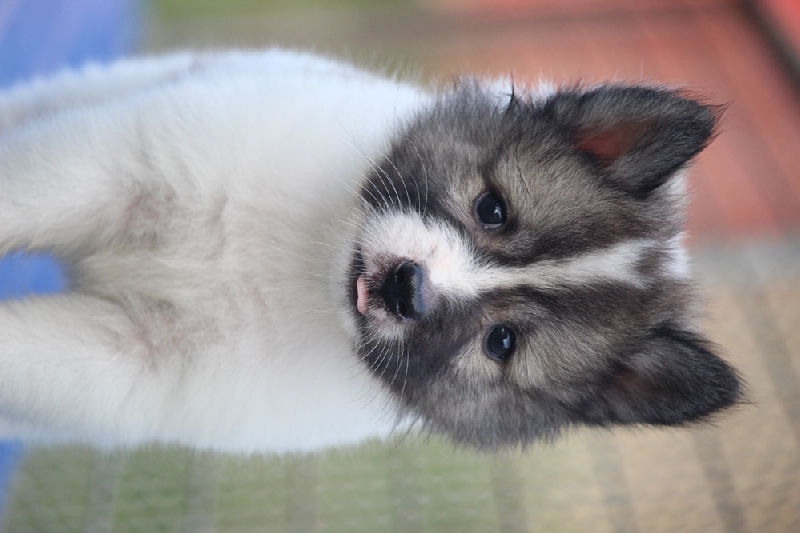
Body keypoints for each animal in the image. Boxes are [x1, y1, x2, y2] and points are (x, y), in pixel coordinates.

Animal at [0, 49, 742, 452]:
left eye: (501, 342)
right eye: (493, 210)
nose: (406, 288)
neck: (304, 262)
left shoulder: (131, 357)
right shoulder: (123, 167)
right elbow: (27, 191)